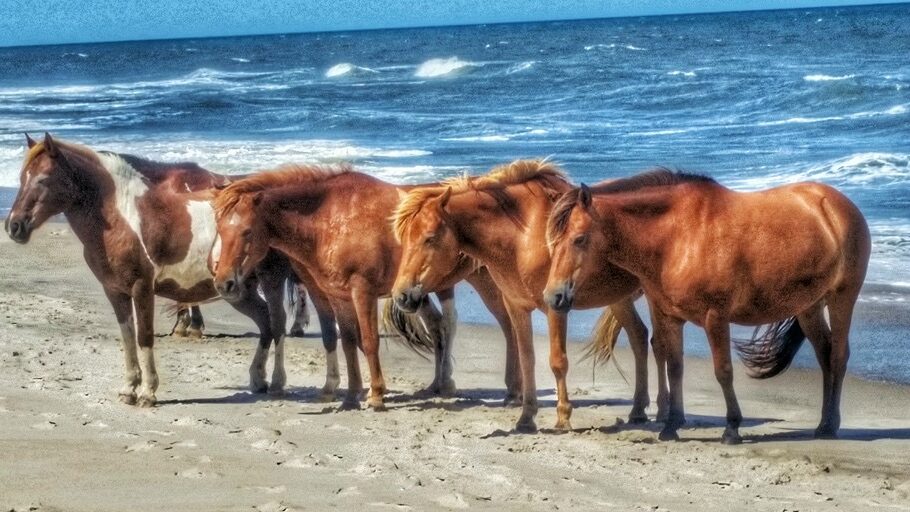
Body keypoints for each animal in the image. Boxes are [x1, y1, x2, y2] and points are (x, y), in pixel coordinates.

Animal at [3, 133, 332, 405]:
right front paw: (128, 389)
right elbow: (127, 337)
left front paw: (148, 392)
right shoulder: (114, 291)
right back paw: (257, 379)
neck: (122, 217)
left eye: (43, 179)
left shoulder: (142, 288)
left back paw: (276, 382)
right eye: (22, 177)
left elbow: (144, 336)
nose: (14, 226)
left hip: (270, 280)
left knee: (277, 324)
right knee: (264, 322)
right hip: (238, 290)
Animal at [210, 165, 517, 410]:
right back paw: (441, 385)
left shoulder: (363, 291)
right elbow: (346, 340)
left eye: (247, 232)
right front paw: (350, 394)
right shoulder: (338, 296)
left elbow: (368, 341)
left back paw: (511, 389)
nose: (224, 281)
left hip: (484, 282)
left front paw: (376, 394)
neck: (330, 218)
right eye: (220, 230)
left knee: (506, 325)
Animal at [391, 159, 660, 432]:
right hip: (619, 300)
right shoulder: (517, 306)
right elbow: (527, 358)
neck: (523, 237)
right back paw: (638, 410)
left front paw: (563, 416)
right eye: (404, 238)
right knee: (639, 337)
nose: (401, 295)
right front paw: (527, 417)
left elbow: (557, 361)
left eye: (429, 238)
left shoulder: (555, 307)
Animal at [545, 169, 871, 443]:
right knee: (825, 356)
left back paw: (829, 425)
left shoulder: (716, 318)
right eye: (553, 241)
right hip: (809, 308)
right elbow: (675, 368)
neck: (677, 237)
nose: (553, 296)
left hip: (842, 297)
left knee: (838, 356)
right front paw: (671, 425)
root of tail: (839, 206)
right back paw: (823, 423)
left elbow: (723, 371)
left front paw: (732, 428)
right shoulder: (670, 317)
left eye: (579, 239)